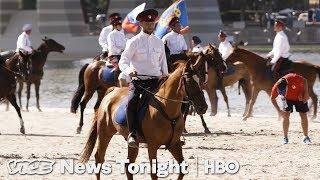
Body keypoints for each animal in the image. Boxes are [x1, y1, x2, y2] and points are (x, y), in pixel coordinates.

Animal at [79, 59, 208, 179]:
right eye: (189, 81)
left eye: (201, 80)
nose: (204, 107)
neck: (166, 109)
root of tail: (112, 91)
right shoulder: (152, 146)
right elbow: (154, 173)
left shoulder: (174, 144)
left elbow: (183, 168)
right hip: (105, 133)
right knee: (99, 158)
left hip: (132, 143)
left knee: (128, 165)